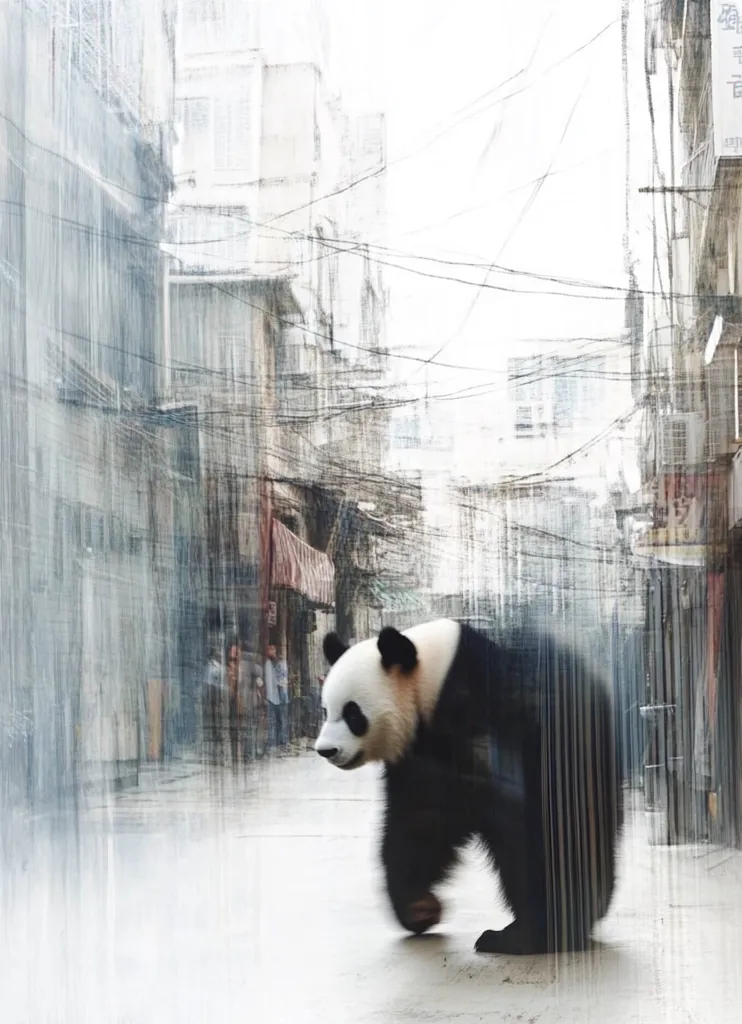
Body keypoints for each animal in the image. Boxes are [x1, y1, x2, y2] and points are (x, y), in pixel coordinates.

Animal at [315, 618, 623, 956]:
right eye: (326, 710)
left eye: (353, 713)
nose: (326, 750)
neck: (432, 677)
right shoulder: (420, 750)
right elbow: (420, 818)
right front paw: (419, 908)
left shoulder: (481, 709)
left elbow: (507, 813)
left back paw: (529, 934)